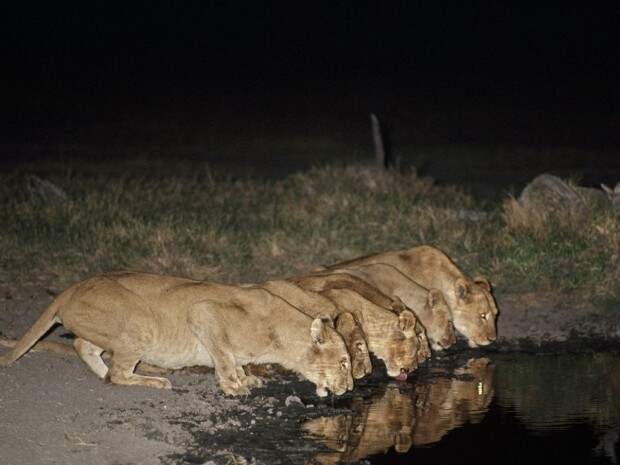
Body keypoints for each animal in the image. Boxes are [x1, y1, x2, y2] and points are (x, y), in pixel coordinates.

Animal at [0, 272, 352, 396]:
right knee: (118, 373)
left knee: (81, 345)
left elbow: (234, 359)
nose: (349, 387)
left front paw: (246, 378)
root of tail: (70, 289)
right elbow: (224, 356)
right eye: (345, 363)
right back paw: (154, 380)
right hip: (140, 322)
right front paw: (234, 386)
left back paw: (102, 372)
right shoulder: (203, 312)